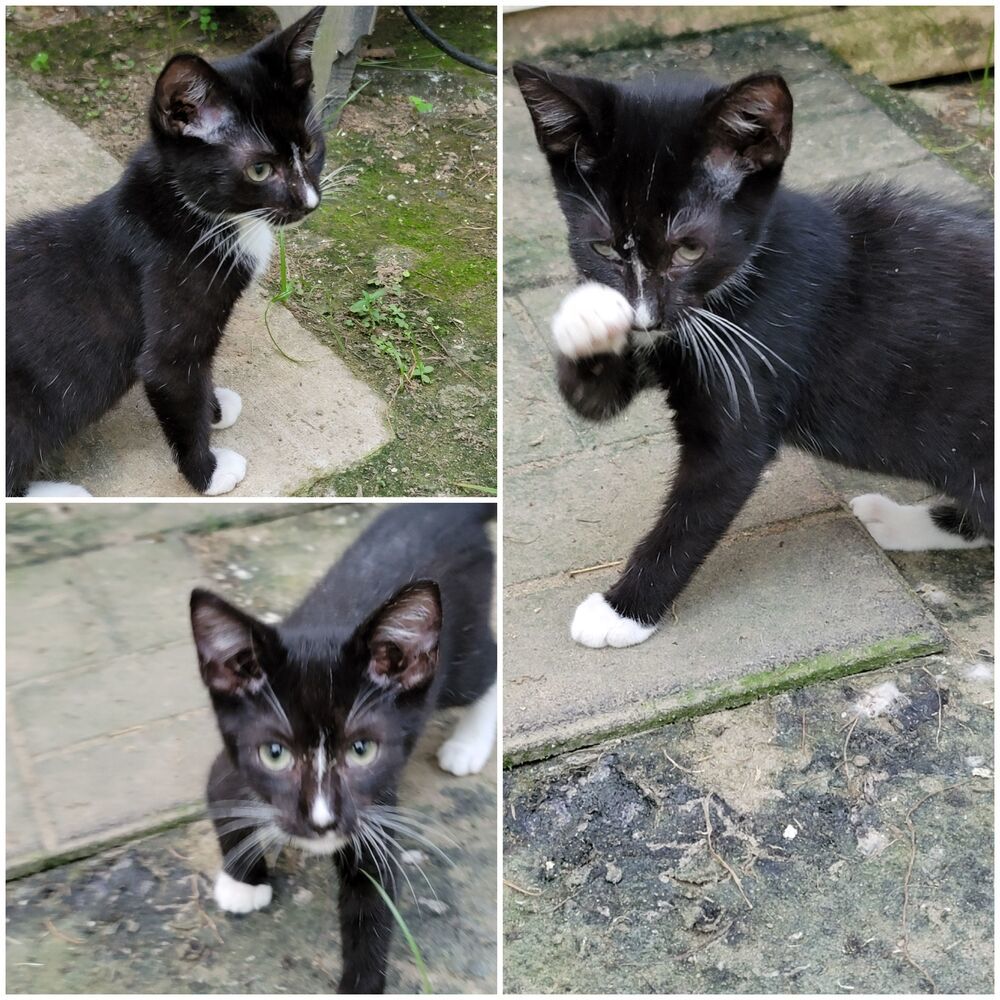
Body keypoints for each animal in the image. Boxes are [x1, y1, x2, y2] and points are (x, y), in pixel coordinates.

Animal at [7, 4, 328, 496]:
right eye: (259, 169)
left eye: (310, 150)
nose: (309, 203)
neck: (196, 216)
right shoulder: (170, 323)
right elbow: (174, 382)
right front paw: (208, 473)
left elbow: (198, 381)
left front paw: (215, 408)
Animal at [190, 504, 496, 996]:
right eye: (274, 753)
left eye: (362, 750)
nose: (321, 821)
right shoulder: (231, 765)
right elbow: (223, 802)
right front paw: (243, 882)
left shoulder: (374, 807)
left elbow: (371, 900)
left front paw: (362, 980)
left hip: (459, 657)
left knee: (487, 667)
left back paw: (467, 744)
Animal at [516, 66, 992, 652]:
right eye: (603, 248)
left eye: (689, 249)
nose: (644, 317)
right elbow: (594, 399)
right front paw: (587, 317)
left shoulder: (749, 379)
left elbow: (702, 501)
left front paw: (622, 610)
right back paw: (893, 520)